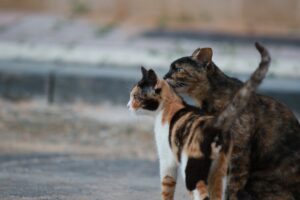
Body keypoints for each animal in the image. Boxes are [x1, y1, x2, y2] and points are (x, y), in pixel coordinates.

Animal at [127, 47, 270, 200]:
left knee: (202, 195)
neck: (170, 105)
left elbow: (166, 189)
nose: (128, 106)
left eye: (135, 96)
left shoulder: (167, 161)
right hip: (217, 173)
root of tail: (216, 126)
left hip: (192, 172)